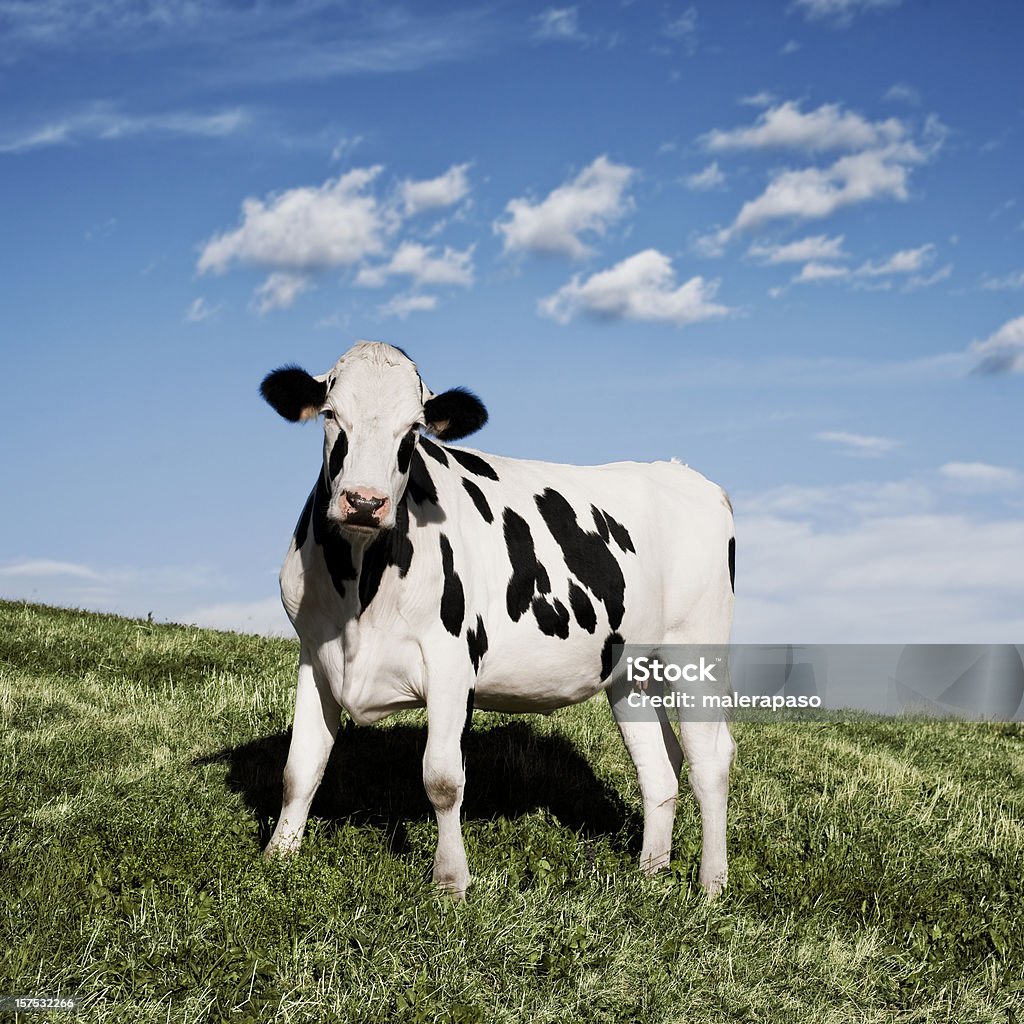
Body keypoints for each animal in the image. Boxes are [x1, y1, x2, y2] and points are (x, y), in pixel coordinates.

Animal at [256, 342, 737, 897]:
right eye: (332, 414)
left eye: (414, 429)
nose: (364, 501)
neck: (360, 591)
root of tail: (683, 472)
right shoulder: (316, 655)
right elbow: (300, 767)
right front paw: (277, 857)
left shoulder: (451, 663)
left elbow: (443, 779)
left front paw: (450, 881)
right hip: (630, 669)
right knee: (660, 766)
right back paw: (650, 875)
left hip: (697, 653)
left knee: (710, 761)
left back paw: (710, 886)